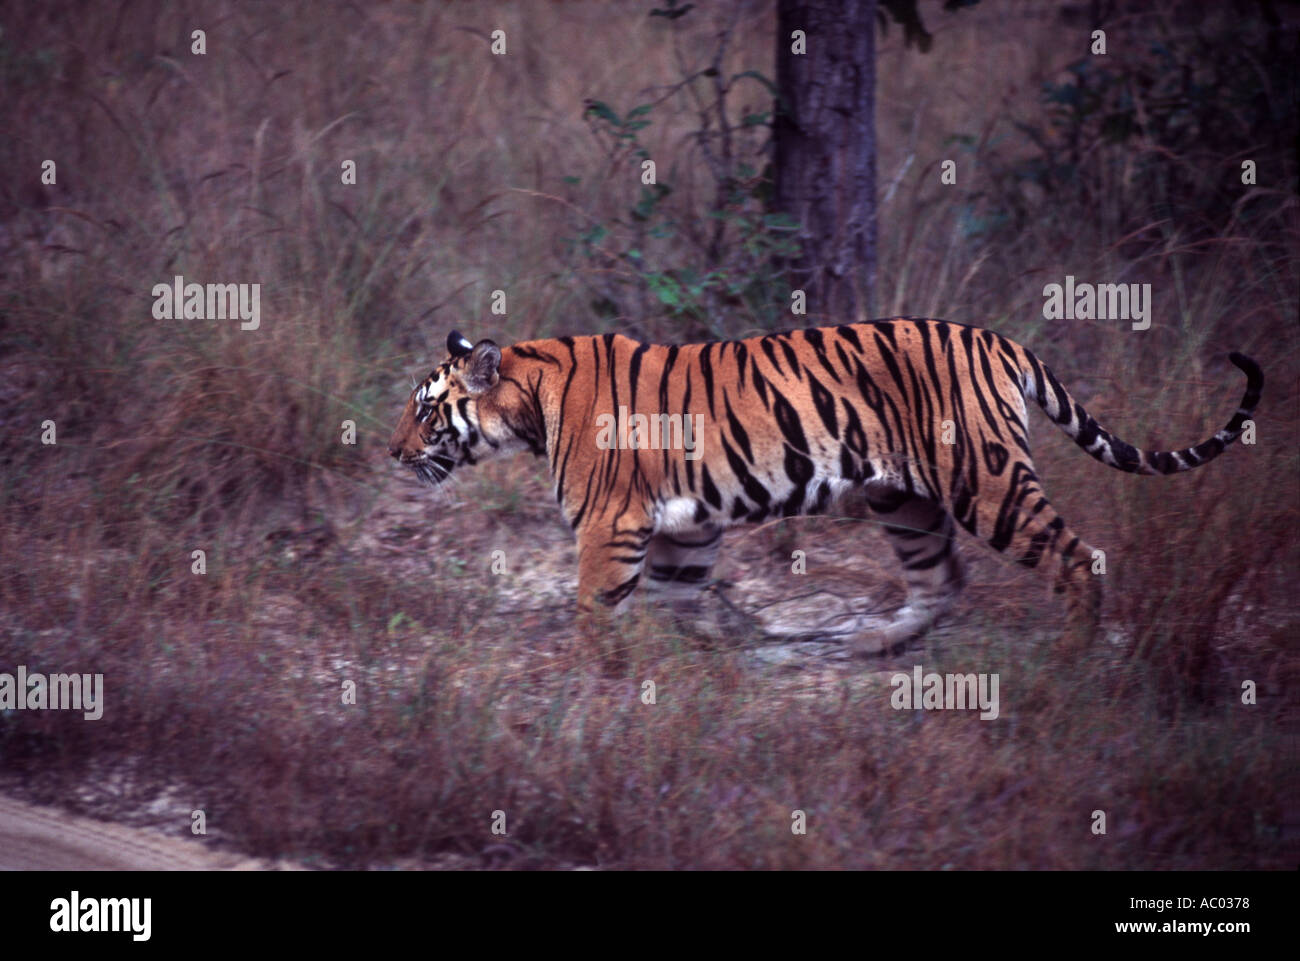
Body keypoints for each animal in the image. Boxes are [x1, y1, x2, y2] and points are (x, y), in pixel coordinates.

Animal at [388, 320, 1262, 654]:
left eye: (426, 408)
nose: (392, 452)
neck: (529, 399)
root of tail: (997, 337)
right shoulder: (683, 526)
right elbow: (677, 600)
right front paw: (694, 667)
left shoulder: (611, 523)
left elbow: (596, 611)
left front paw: (598, 678)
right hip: (902, 498)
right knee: (941, 578)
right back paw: (875, 641)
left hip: (986, 482)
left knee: (1078, 557)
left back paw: (1074, 656)